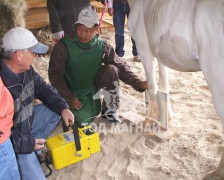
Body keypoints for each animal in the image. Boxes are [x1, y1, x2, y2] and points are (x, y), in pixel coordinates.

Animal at [127, 0, 224, 179]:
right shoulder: (162, 55)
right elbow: (163, 86)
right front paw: (166, 119)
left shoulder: (144, 49)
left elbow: (152, 85)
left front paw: (150, 120)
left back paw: (217, 172)